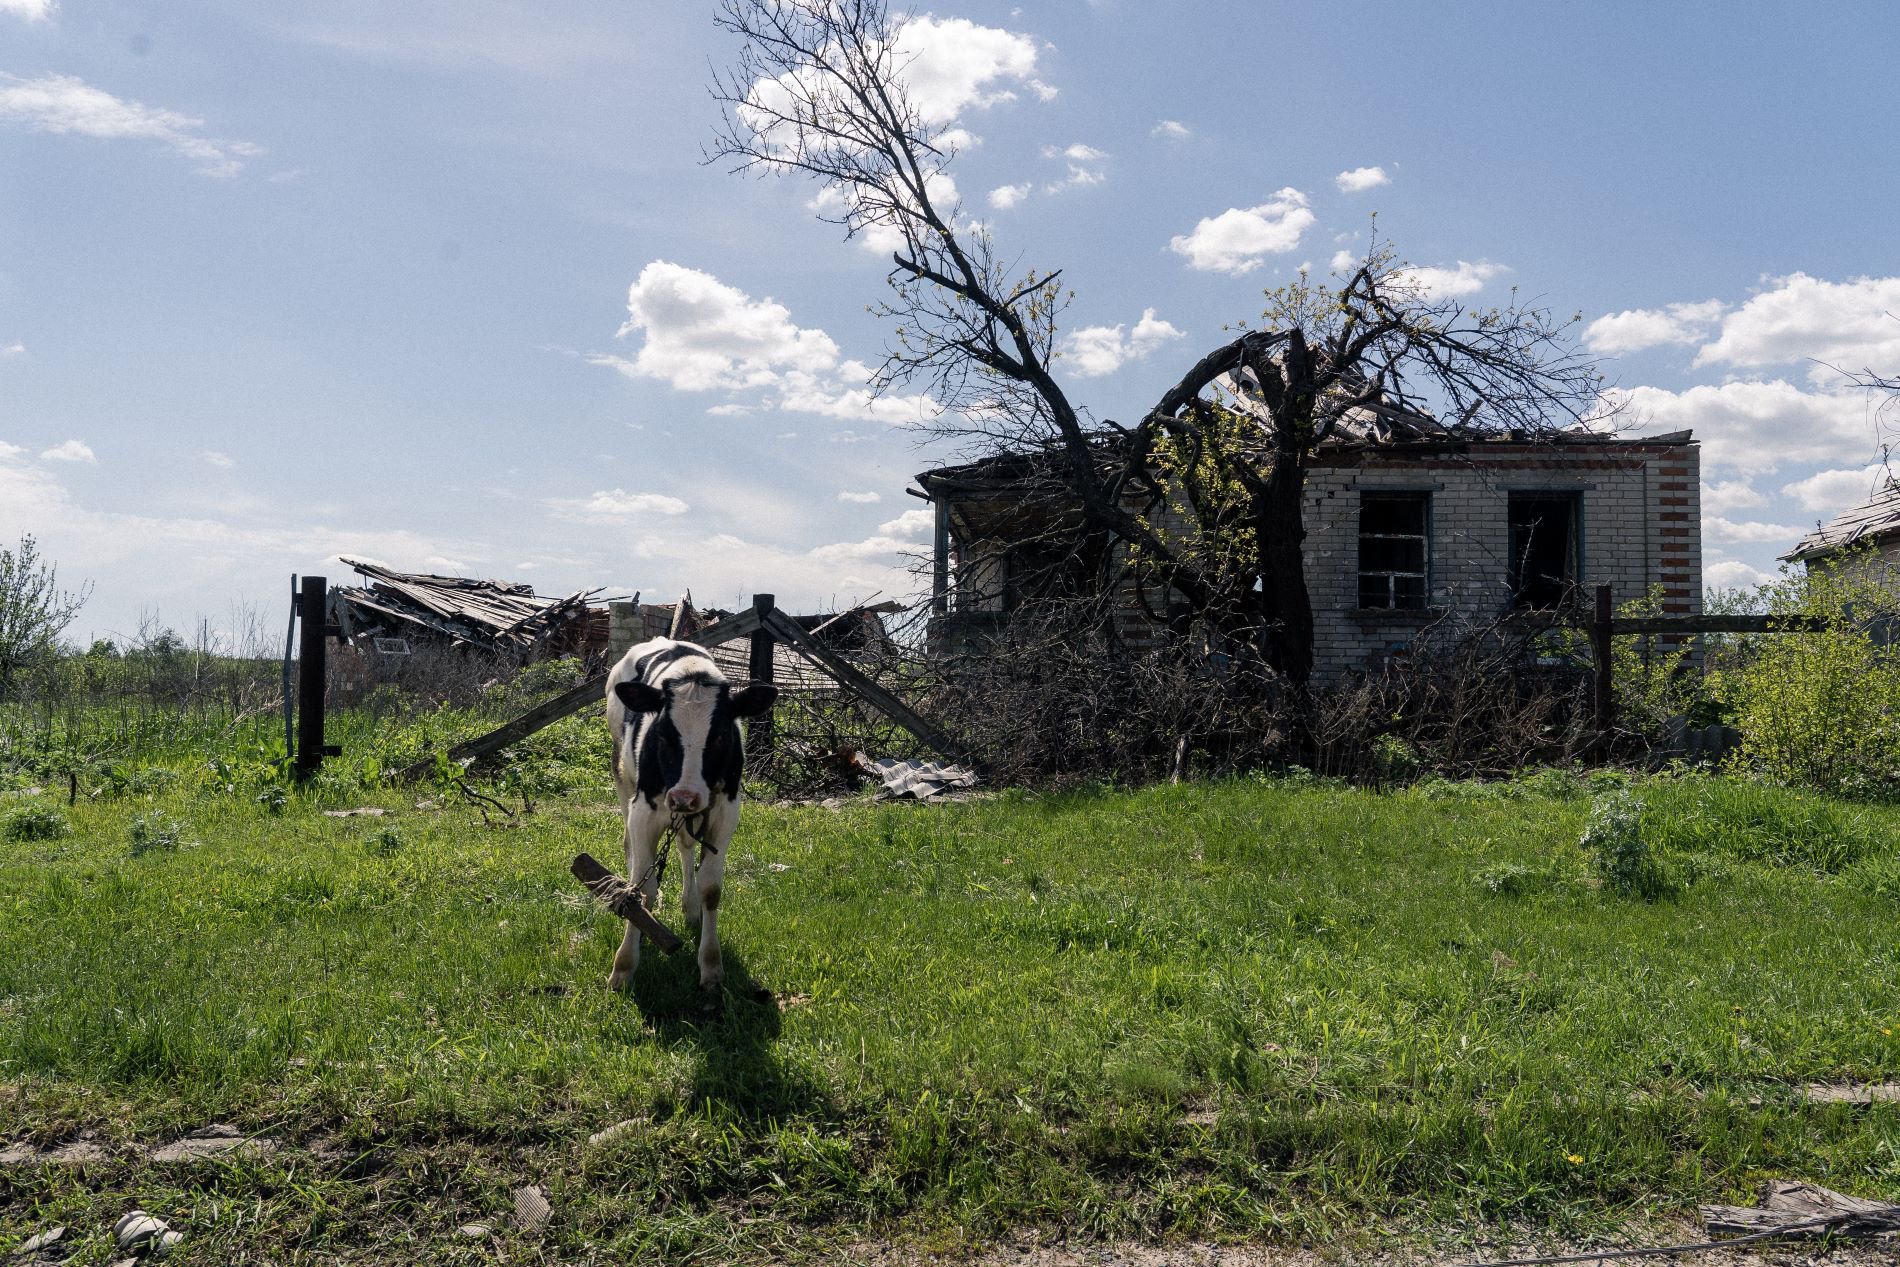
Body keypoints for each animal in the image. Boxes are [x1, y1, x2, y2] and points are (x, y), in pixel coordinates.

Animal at [596, 638, 767, 995]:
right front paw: (624, 966)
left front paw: (711, 966)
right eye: (663, 734)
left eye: (720, 736)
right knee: (630, 847)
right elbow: (642, 889)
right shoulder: (644, 812)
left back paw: (689, 908)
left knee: (685, 847)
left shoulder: (725, 812)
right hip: (622, 776)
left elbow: (711, 888)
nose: (684, 797)